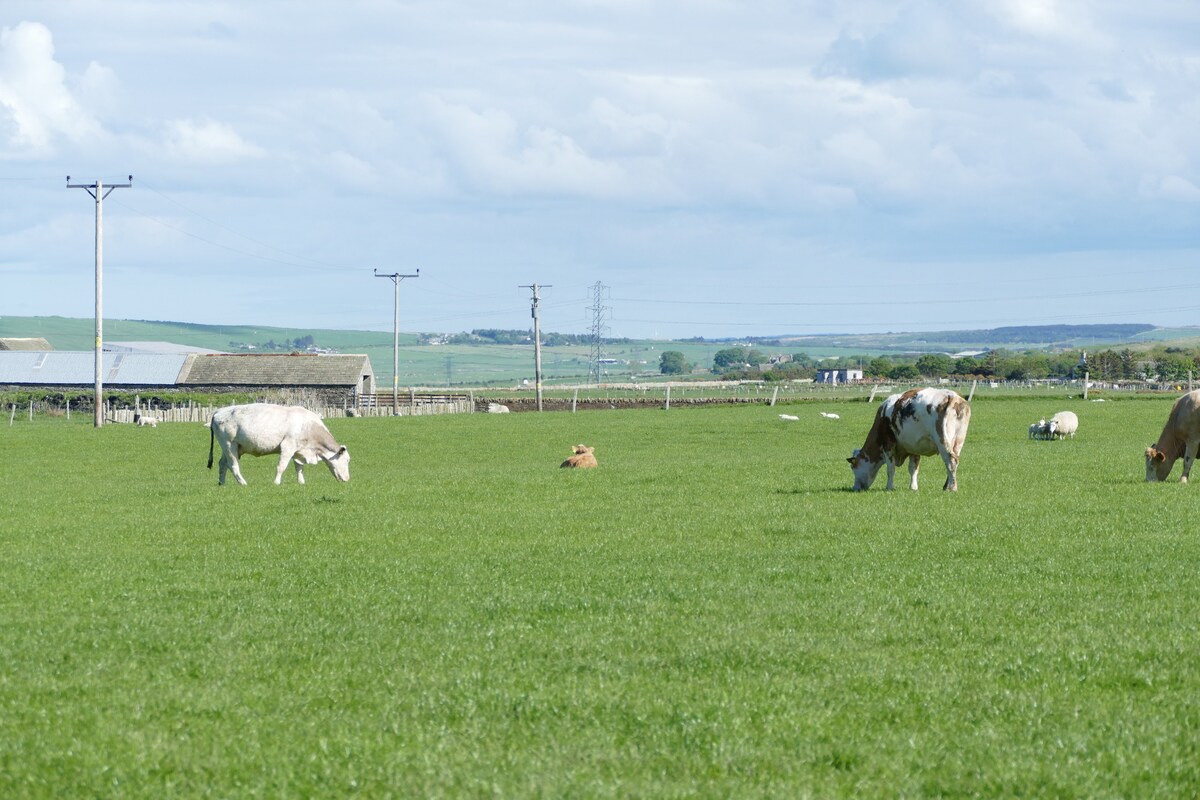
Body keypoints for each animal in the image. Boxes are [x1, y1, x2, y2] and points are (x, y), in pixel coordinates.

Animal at [204, 402, 348, 484]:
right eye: (347, 461)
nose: (347, 479)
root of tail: (218, 411)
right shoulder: (288, 446)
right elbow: (281, 466)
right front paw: (276, 482)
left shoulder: (298, 450)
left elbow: (299, 467)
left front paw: (301, 482)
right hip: (229, 445)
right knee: (233, 466)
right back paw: (243, 483)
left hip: (232, 448)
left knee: (222, 464)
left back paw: (222, 484)